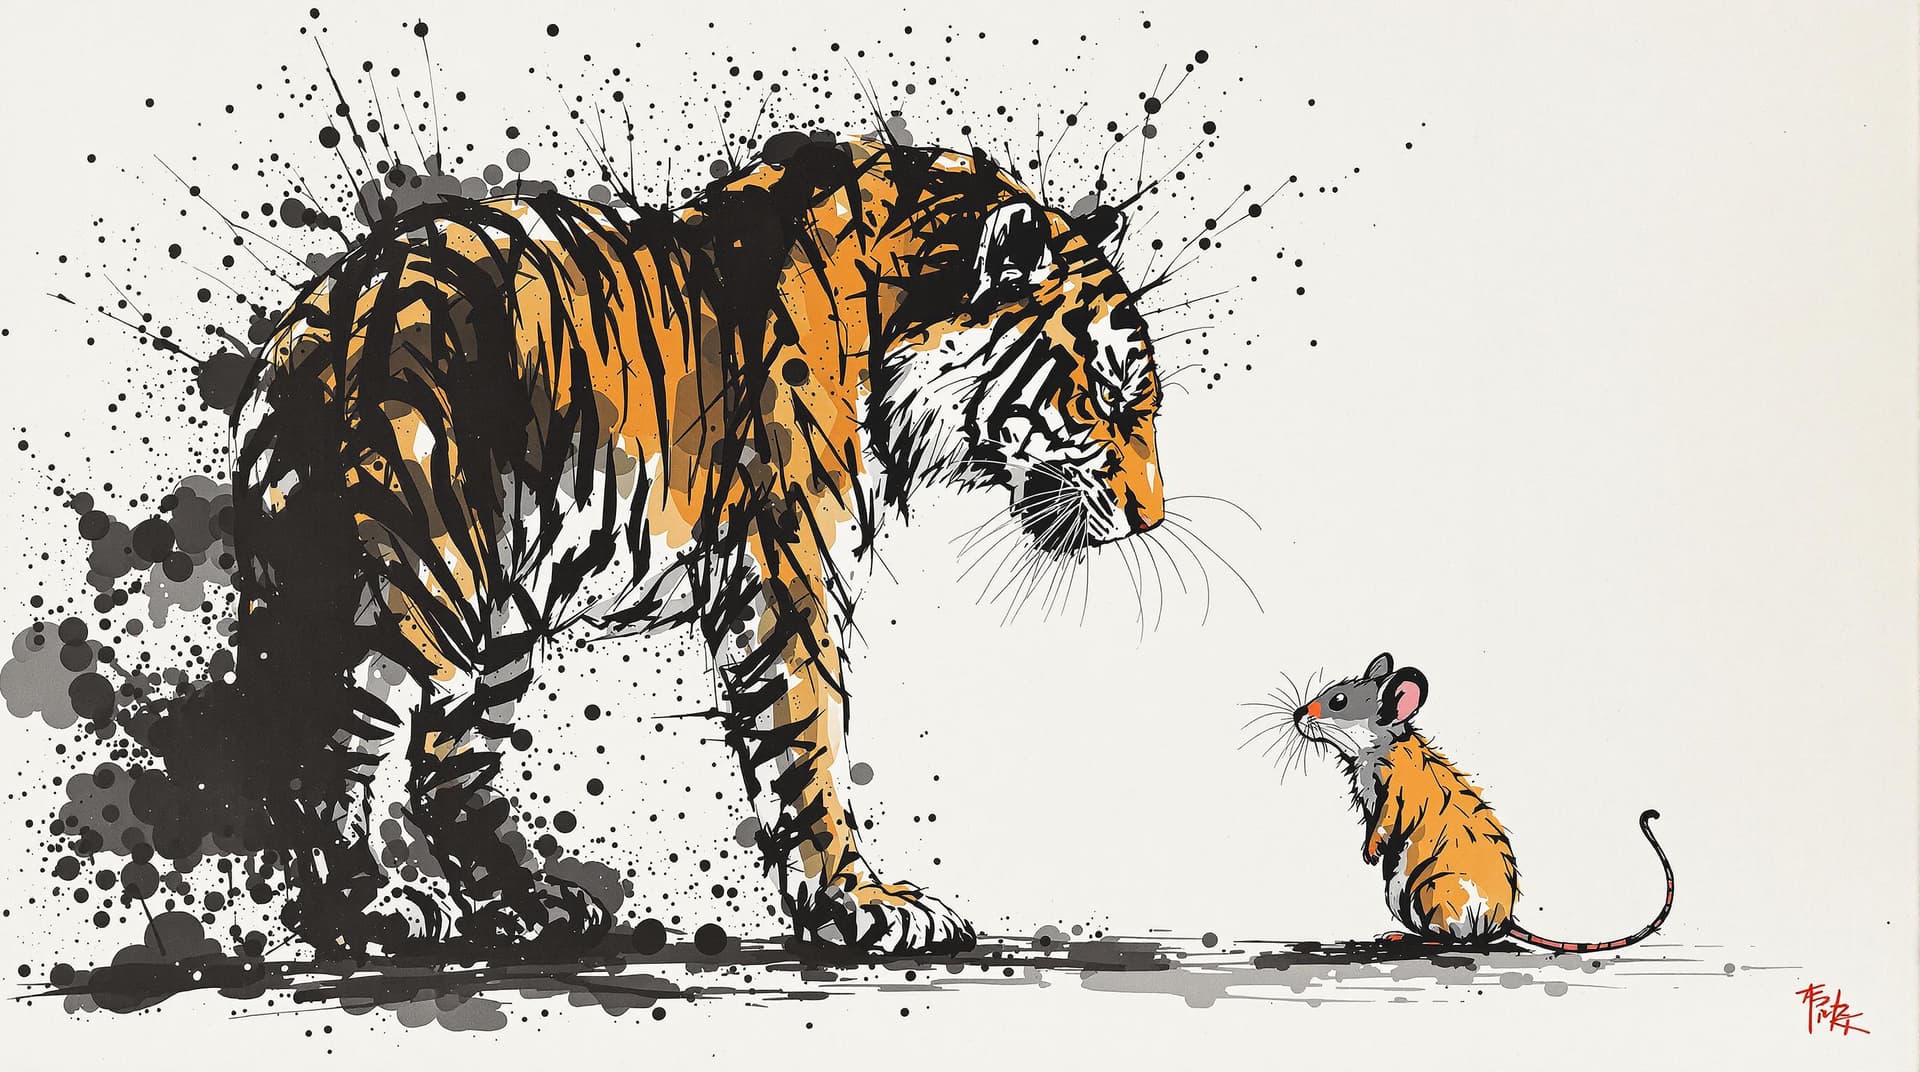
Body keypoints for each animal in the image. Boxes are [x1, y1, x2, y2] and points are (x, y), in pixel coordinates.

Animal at [227, 132, 1167, 957]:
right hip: (413, 584)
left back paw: (530, 905)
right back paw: (371, 911)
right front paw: (856, 905)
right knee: (324, 750)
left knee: (443, 765)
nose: (1152, 516)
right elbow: (809, 739)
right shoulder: (790, 567)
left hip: (498, 619)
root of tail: (317, 320)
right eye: (1108, 400)